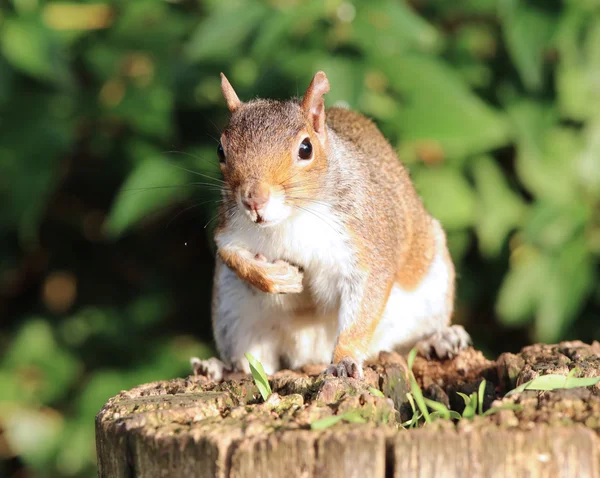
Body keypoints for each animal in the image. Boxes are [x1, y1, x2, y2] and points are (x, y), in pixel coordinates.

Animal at [190, 70, 472, 380]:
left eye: (305, 149)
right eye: (220, 150)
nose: (254, 200)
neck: (291, 218)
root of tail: (307, 354)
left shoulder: (366, 241)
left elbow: (363, 305)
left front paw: (344, 360)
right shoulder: (229, 227)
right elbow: (229, 253)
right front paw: (276, 276)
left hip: (431, 289)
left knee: (407, 342)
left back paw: (438, 339)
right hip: (234, 314)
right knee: (250, 362)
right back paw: (216, 367)